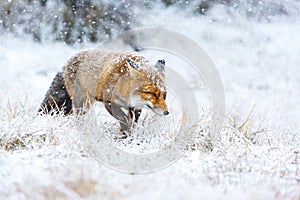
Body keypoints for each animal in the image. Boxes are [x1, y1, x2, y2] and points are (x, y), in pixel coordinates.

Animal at [39, 49, 169, 132]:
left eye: (164, 95)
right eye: (152, 93)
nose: (167, 112)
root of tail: (67, 62)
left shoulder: (135, 107)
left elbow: (133, 120)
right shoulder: (109, 102)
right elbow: (123, 119)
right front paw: (127, 133)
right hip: (82, 102)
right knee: (79, 117)